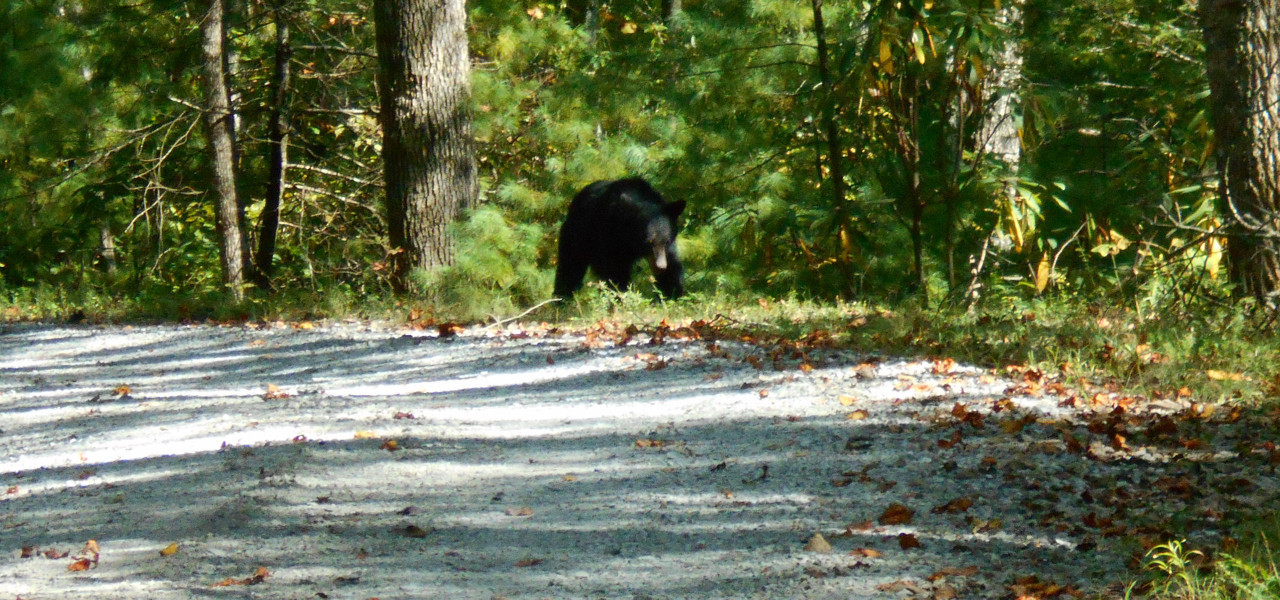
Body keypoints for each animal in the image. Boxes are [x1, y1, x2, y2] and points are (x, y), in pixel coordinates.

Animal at [554, 177, 686, 300]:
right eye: (649, 242)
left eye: (666, 241)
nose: (661, 266)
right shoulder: (611, 235)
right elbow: (614, 271)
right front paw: (620, 295)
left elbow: (672, 265)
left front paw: (671, 294)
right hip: (577, 235)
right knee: (570, 266)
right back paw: (562, 298)